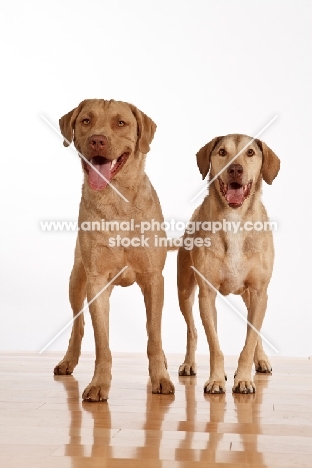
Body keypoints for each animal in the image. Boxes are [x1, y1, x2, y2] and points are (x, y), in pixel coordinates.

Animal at [54, 98, 176, 398]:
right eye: (86, 120)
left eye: (121, 123)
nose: (97, 140)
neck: (116, 200)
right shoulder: (97, 282)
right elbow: (102, 341)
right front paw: (99, 383)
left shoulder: (154, 279)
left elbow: (154, 335)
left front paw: (160, 377)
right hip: (77, 280)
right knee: (78, 325)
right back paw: (68, 360)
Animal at [178, 133, 280, 394]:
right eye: (222, 152)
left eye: (250, 153)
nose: (235, 169)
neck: (234, 219)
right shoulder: (206, 294)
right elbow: (214, 344)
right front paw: (216, 379)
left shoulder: (259, 291)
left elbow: (249, 341)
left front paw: (243, 378)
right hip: (184, 291)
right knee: (192, 330)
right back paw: (189, 363)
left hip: (250, 295)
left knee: (255, 331)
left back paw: (261, 360)